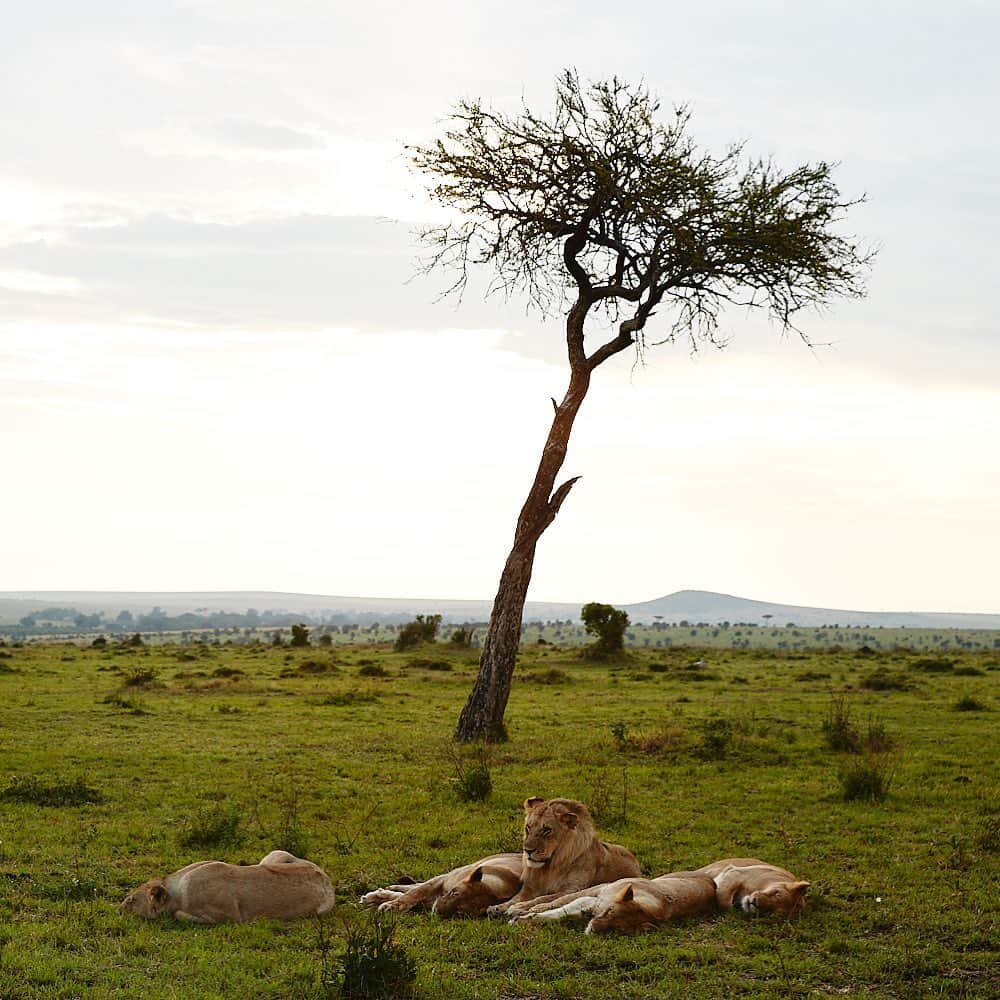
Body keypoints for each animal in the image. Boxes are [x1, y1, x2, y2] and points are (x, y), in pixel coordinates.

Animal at [117, 848, 336, 924]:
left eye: (132, 899)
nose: (118, 910)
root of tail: (325, 876)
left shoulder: (229, 916)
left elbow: (179, 915)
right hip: (276, 854)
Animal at [364, 852, 528, 916]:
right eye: (455, 893)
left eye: (460, 912)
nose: (437, 911)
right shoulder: (441, 879)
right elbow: (414, 893)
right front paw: (392, 905)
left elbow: (415, 898)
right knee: (412, 887)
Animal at [486, 796, 640, 920]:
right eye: (528, 827)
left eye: (546, 830)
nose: (528, 850)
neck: (550, 867)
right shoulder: (530, 887)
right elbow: (515, 898)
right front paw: (498, 907)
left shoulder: (571, 889)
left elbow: (544, 897)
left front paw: (519, 908)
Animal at [512, 872, 716, 932]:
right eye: (610, 911)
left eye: (617, 929)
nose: (594, 929)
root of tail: (712, 882)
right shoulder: (595, 894)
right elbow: (559, 903)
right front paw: (521, 912)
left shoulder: (590, 904)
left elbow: (559, 912)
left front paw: (525, 918)